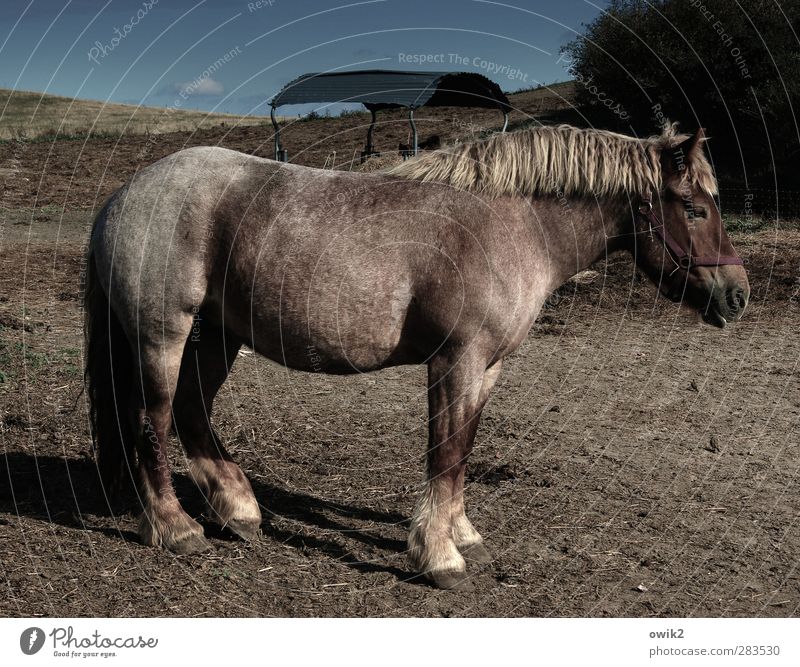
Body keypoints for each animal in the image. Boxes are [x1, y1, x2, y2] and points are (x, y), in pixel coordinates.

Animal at [84, 120, 748, 588]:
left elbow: (463, 449)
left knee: (192, 410)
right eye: (695, 208)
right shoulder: (457, 360)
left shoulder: (487, 367)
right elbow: (445, 450)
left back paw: (239, 510)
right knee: (153, 419)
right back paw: (175, 527)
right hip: (163, 334)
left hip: (219, 334)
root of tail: (127, 193)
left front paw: (460, 533)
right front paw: (439, 557)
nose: (737, 295)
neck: (513, 224)